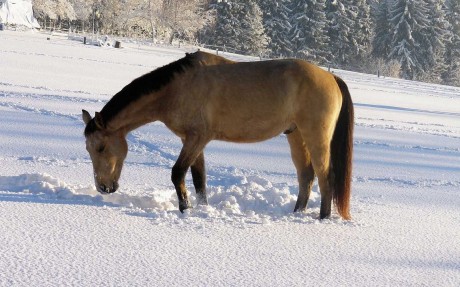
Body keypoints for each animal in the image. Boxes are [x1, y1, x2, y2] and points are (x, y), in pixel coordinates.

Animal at [82, 50, 354, 220]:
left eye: (101, 147)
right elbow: (199, 179)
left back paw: (322, 218)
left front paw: (185, 209)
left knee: (325, 176)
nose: (103, 187)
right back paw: (296, 213)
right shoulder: (191, 140)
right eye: (88, 149)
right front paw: (200, 208)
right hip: (295, 135)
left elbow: (177, 173)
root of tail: (331, 77)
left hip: (316, 136)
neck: (178, 88)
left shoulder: (197, 138)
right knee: (306, 176)